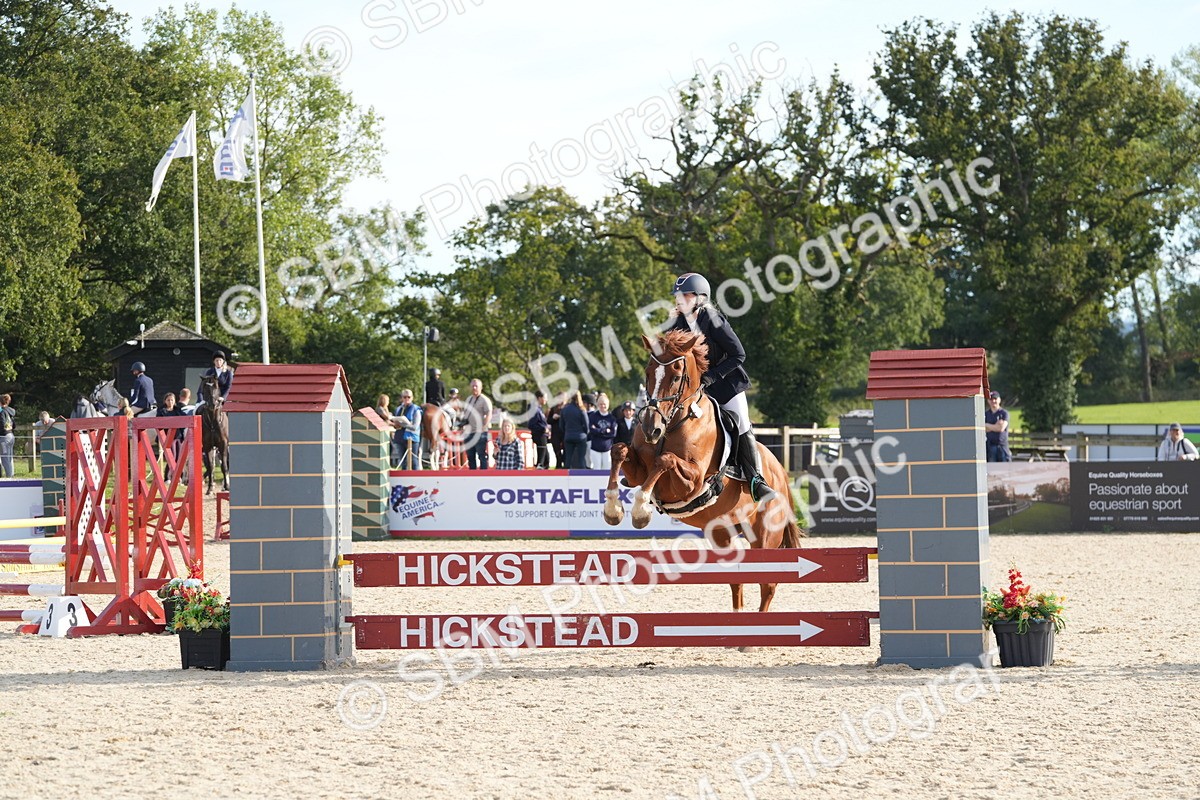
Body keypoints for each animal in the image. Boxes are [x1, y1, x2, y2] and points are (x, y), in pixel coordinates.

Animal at [602, 330, 803, 616]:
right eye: (648, 373)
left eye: (676, 377)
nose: (651, 429)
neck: (674, 422)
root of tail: (780, 472)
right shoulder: (637, 472)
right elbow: (618, 451)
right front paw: (612, 509)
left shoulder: (693, 482)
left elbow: (664, 460)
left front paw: (640, 510)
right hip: (722, 533)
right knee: (737, 579)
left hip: (765, 535)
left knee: (768, 584)